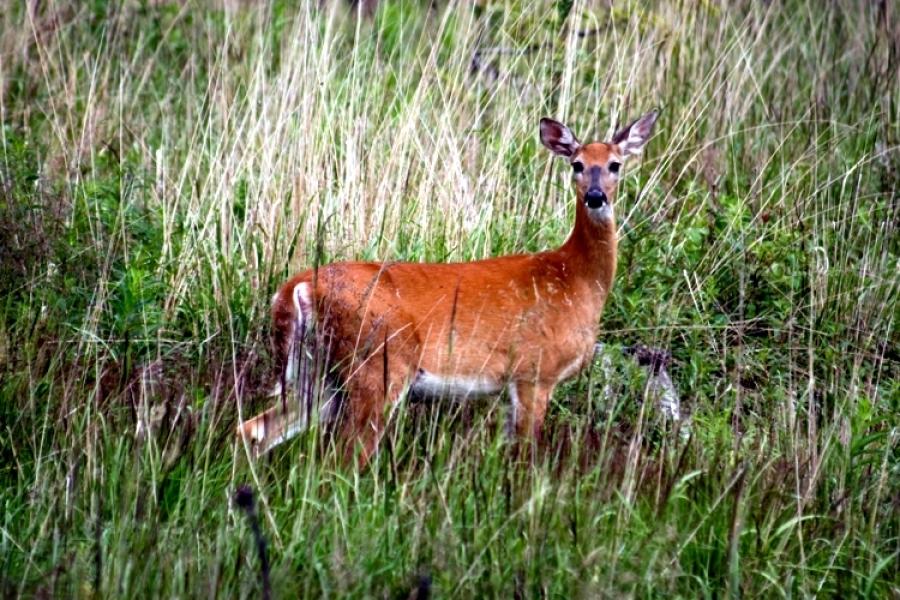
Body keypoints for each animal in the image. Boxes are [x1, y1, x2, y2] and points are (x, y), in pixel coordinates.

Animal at [237, 109, 660, 464]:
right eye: (577, 165)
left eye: (615, 165)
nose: (595, 196)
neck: (574, 278)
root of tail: (296, 288)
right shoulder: (534, 372)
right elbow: (525, 459)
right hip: (376, 365)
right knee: (346, 453)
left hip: (314, 370)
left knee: (255, 429)